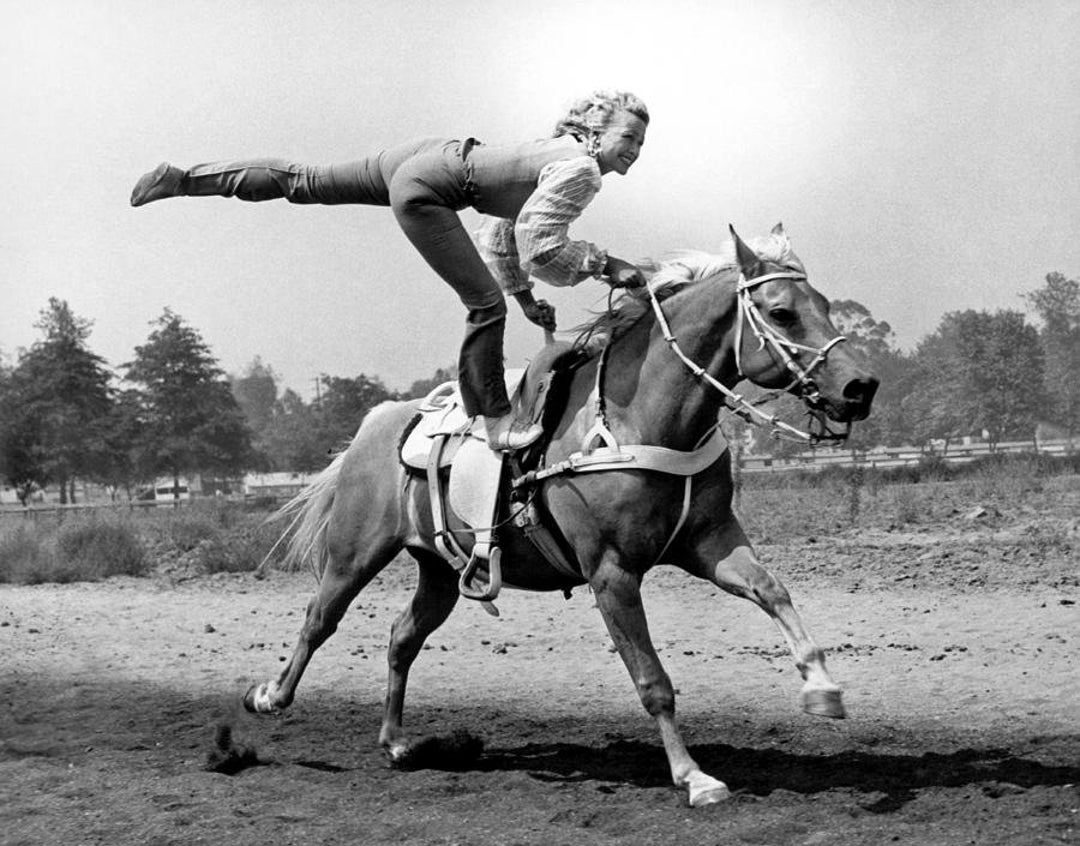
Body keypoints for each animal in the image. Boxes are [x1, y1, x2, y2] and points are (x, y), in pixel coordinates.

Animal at [245, 224, 876, 808]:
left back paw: (397, 742)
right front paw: (693, 777)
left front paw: (822, 688)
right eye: (781, 312)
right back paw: (270, 697)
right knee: (319, 620)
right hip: (353, 555)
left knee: (403, 637)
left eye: (823, 305)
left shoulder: (711, 541)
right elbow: (653, 680)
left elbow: (773, 591)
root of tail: (377, 423)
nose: (861, 385)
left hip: (440, 572)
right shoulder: (611, 573)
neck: (636, 422)